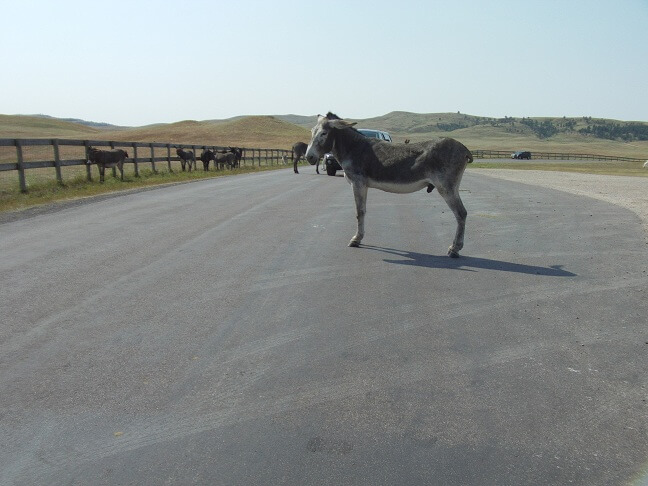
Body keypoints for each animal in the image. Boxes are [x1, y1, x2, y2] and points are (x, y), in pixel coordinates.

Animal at [306, 112, 474, 258]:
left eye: (324, 133)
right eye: (312, 132)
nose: (309, 157)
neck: (353, 148)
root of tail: (464, 148)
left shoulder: (358, 183)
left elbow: (360, 212)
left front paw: (356, 240)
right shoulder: (363, 185)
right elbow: (362, 211)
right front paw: (358, 238)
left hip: (446, 188)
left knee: (461, 213)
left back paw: (454, 249)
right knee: (461, 214)